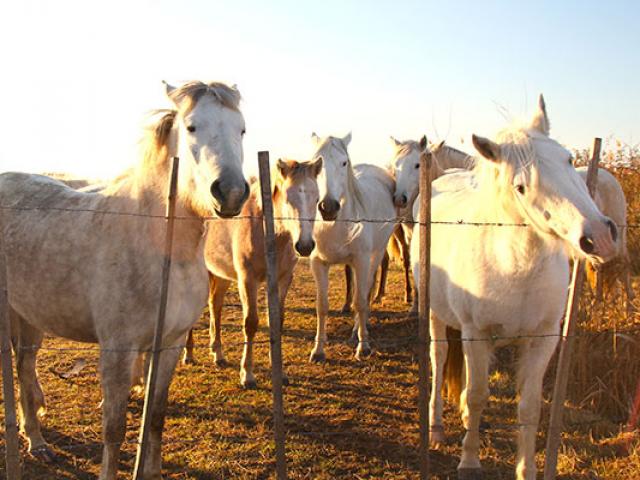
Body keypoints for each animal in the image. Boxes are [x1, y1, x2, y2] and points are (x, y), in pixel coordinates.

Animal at [0, 80, 249, 478]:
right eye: (192, 127)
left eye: (241, 129)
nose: (231, 193)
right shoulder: (118, 350)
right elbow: (114, 427)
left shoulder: (169, 345)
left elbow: (156, 417)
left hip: (30, 318)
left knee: (25, 369)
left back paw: (37, 441)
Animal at [184, 159, 322, 388]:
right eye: (287, 198)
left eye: (317, 199)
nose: (304, 246)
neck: (266, 230)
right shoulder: (247, 280)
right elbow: (250, 323)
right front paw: (247, 375)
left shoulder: (283, 279)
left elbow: (277, 321)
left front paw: (280, 373)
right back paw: (188, 354)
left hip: (221, 274)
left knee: (215, 305)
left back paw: (218, 354)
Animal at [308, 132, 398, 360]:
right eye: (316, 164)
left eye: (343, 162)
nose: (328, 207)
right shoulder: (318, 263)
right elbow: (322, 305)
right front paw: (318, 350)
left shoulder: (362, 260)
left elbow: (360, 301)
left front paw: (363, 346)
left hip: (376, 254)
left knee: (365, 291)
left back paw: (358, 329)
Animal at [412, 95, 616, 478]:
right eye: (521, 187)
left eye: (568, 159)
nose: (598, 237)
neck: (516, 267)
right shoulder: (475, 333)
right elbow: (478, 395)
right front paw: (469, 461)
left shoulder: (542, 339)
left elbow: (529, 407)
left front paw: (527, 468)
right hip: (437, 316)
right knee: (440, 358)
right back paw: (437, 428)